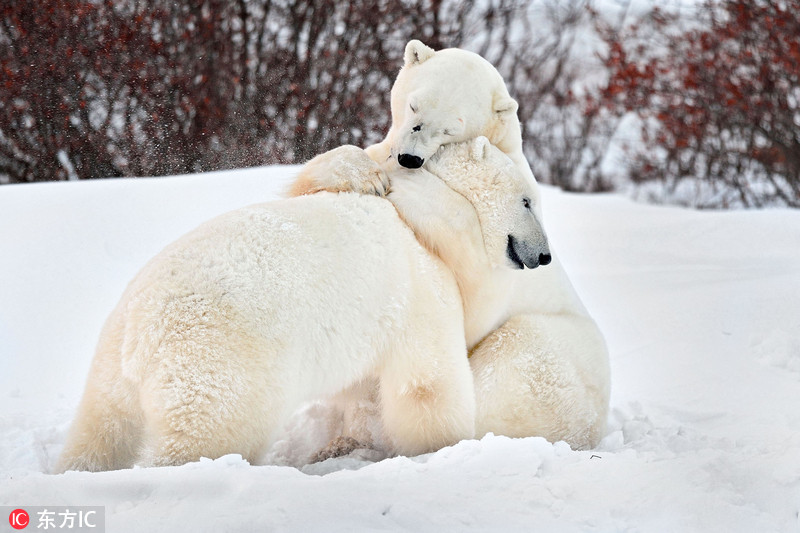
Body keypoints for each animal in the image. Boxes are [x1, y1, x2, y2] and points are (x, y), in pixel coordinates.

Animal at [54, 136, 544, 470]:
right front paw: (442, 447)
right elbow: (428, 384)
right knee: (207, 434)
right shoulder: (422, 291)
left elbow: (363, 386)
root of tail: (143, 331)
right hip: (219, 363)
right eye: (527, 201)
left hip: (110, 366)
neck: (426, 225)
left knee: (101, 430)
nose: (544, 256)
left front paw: (344, 443)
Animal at [290, 39, 608, 446]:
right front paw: (367, 175)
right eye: (413, 106)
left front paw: (402, 185)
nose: (408, 157)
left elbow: (471, 292)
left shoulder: (496, 268)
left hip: (552, 357)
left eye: (449, 128)